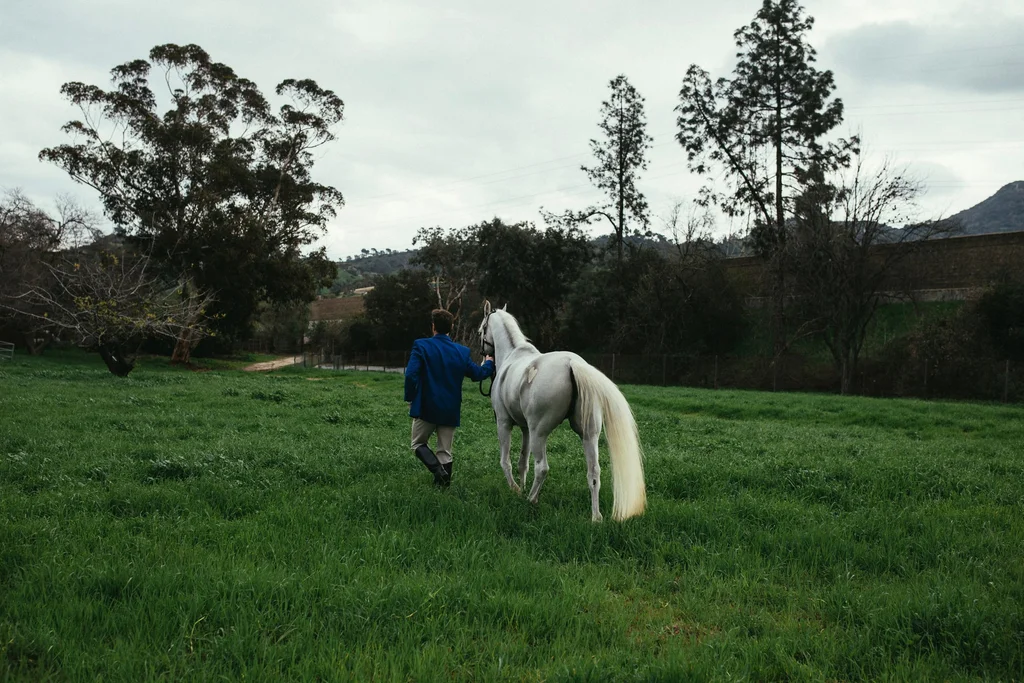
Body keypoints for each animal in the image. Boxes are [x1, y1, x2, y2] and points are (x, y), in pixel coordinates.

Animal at [478, 302, 646, 522]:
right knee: (594, 473)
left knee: (542, 468)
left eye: (481, 330)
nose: (483, 359)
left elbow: (506, 461)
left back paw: (531, 500)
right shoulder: (525, 428)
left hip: (539, 433)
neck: (512, 355)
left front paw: (515, 489)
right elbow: (523, 462)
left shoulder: (504, 423)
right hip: (588, 435)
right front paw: (520, 488)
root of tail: (573, 364)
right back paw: (596, 517)